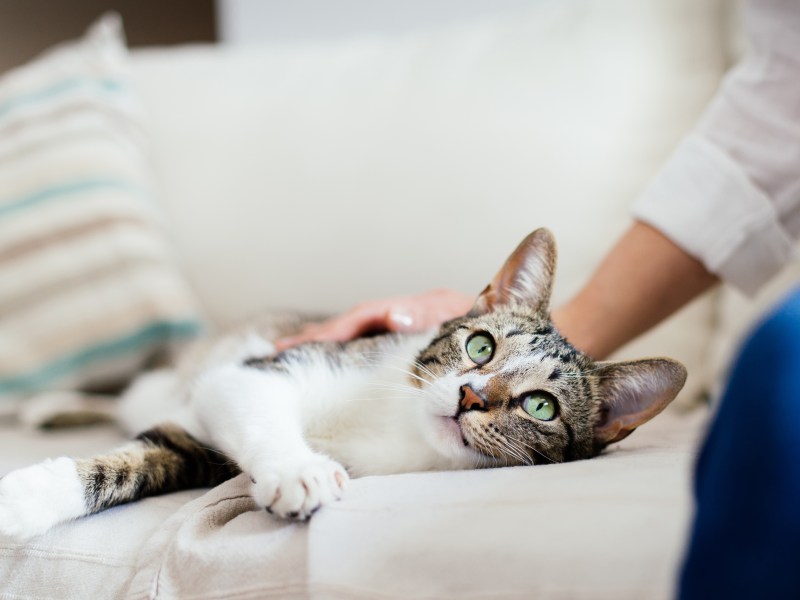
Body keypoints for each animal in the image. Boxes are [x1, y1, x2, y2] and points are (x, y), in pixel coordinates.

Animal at [0, 229, 688, 540]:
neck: (395, 426)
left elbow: (145, 462)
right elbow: (246, 404)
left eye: (541, 406)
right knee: (130, 395)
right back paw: (51, 403)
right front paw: (298, 468)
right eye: (480, 346)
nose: (471, 397)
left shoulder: (200, 451)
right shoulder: (261, 369)